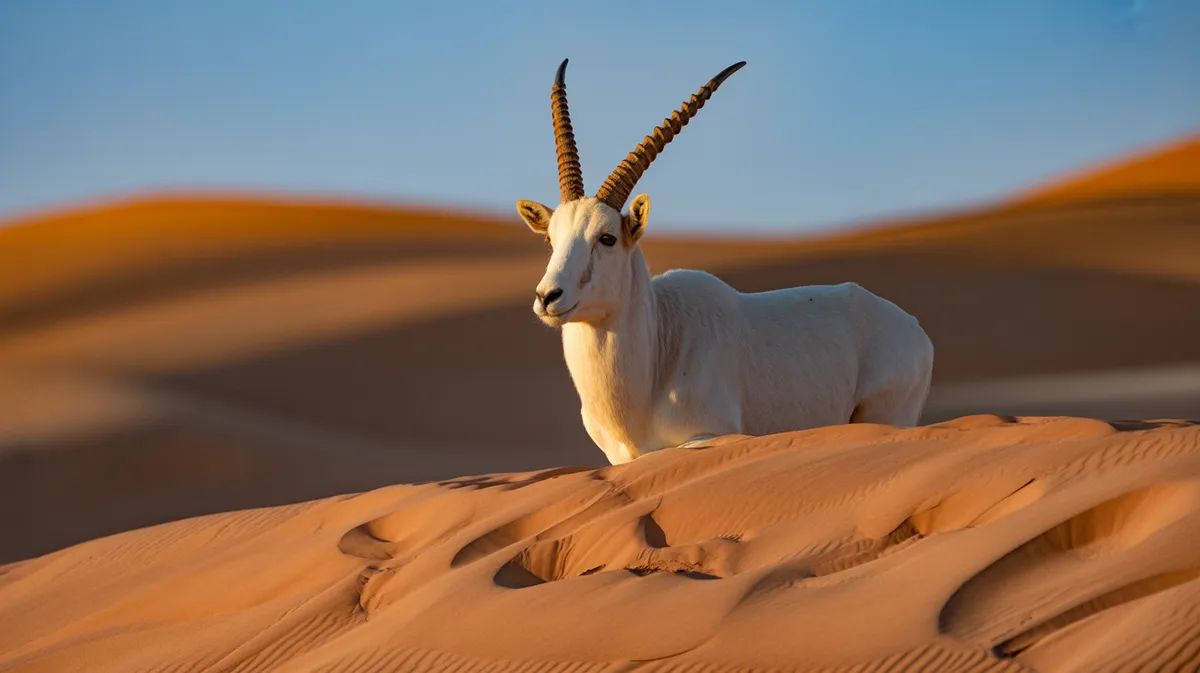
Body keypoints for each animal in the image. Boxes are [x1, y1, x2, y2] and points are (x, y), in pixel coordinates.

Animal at [516, 59, 934, 465]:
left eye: (607, 237)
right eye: (551, 238)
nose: (548, 297)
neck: (657, 350)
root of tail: (914, 329)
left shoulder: (710, 436)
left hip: (886, 414)